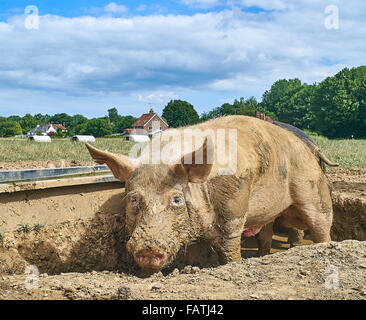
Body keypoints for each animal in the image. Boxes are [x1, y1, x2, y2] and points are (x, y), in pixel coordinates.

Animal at [86, 116, 334, 272]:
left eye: (177, 199)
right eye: (134, 199)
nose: (148, 248)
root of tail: (307, 147)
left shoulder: (234, 207)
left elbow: (229, 247)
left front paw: (232, 264)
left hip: (312, 188)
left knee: (321, 225)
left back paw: (322, 247)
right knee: (265, 234)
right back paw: (262, 256)